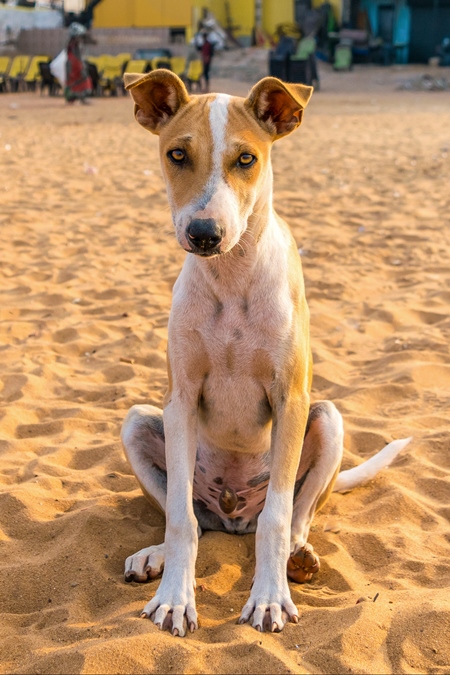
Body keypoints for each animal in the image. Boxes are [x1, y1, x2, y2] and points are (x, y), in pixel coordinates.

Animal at [120, 71, 412, 636]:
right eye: (177, 154)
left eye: (246, 159)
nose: (204, 234)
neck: (231, 277)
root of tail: (235, 514)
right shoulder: (180, 400)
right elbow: (180, 519)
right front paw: (174, 599)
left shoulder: (290, 398)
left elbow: (277, 519)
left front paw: (270, 599)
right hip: (140, 421)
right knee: (191, 517)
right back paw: (155, 555)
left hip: (327, 418)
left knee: (295, 516)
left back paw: (298, 556)